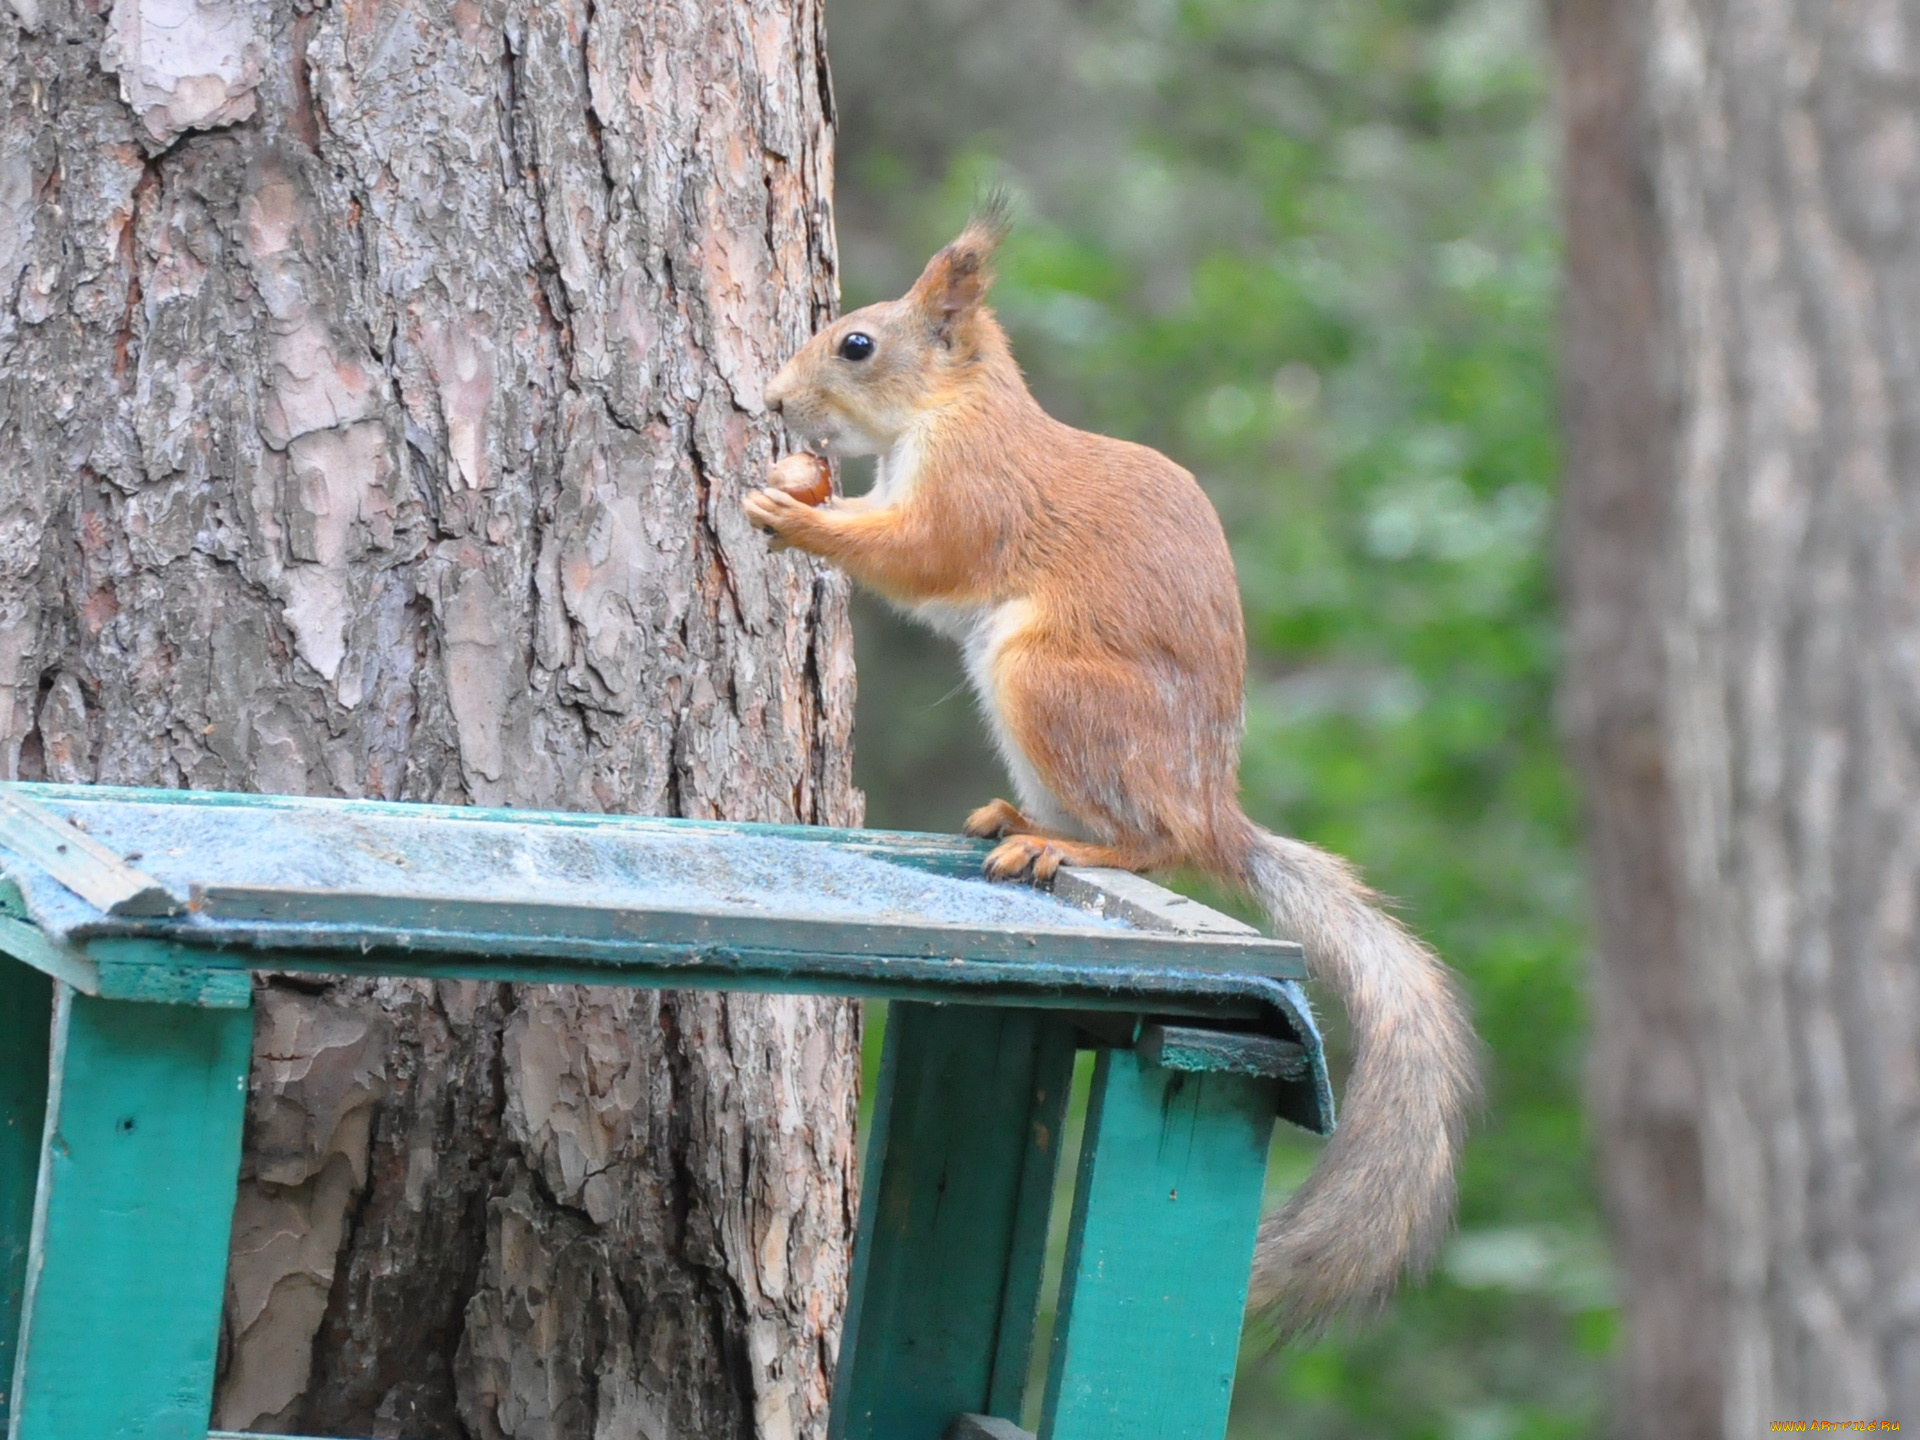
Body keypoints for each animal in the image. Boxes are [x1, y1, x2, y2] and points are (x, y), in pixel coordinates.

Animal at [741, 203, 1474, 1344]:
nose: (775, 403)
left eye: (857, 343)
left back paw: (1062, 844)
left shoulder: (976, 490)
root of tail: (1217, 811)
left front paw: (799, 517)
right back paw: (1012, 820)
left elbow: (922, 555)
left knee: (1155, 844)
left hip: (1047, 682)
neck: (948, 411)